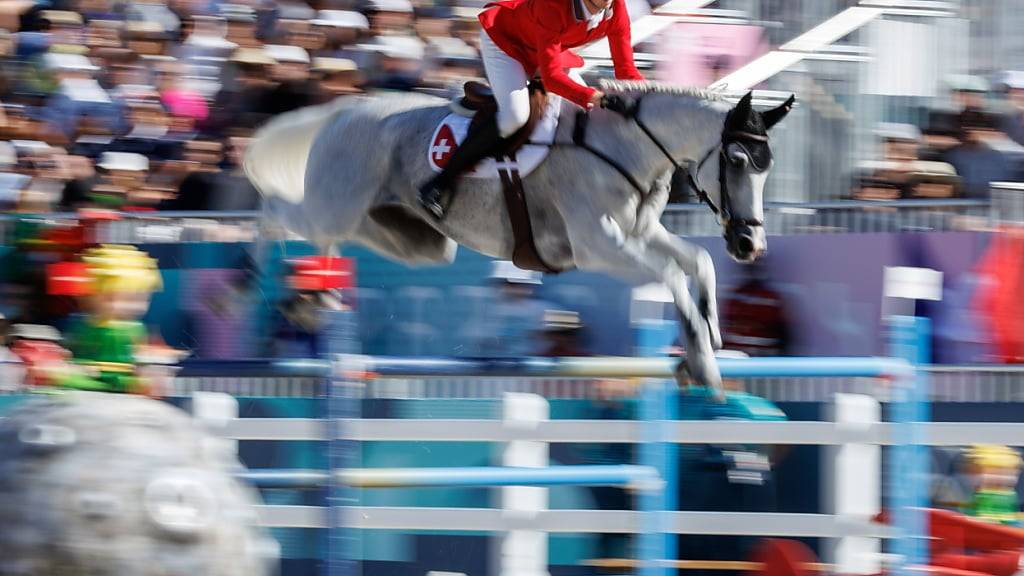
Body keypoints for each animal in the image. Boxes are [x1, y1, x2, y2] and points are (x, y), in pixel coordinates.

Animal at [245, 80, 790, 391]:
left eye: (768, 168)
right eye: (736, 160)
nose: (750, 245)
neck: (625, 146)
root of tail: (343, 111)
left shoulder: (640, 233)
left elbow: (697, 259)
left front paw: (714, 333)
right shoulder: (597, 247)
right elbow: (674, 275)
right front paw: (702, 363)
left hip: (413, 240)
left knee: (338, 235)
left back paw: (320, 294)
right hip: (333, 205)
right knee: (276, 211)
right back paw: (259, 278)